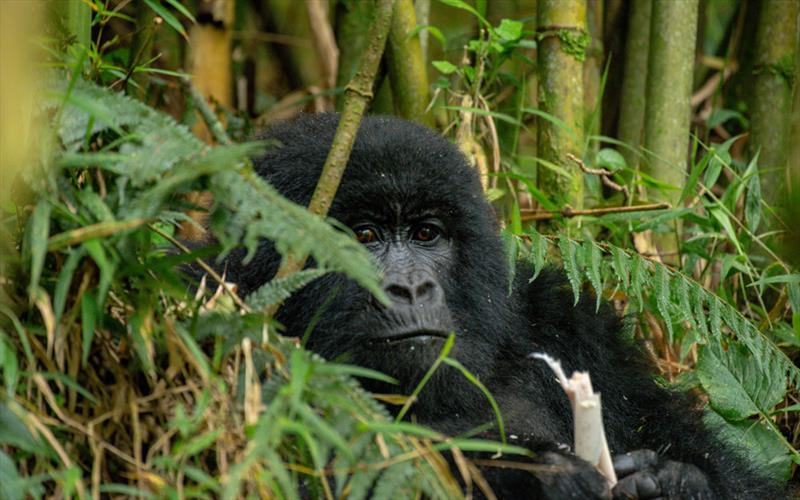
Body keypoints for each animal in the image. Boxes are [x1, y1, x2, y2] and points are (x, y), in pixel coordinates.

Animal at [211, 114, 776, 500]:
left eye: (427, 234)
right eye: (364, 236)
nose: (411, 289)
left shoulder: (573, 325)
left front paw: (678, 480)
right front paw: (545, 477)